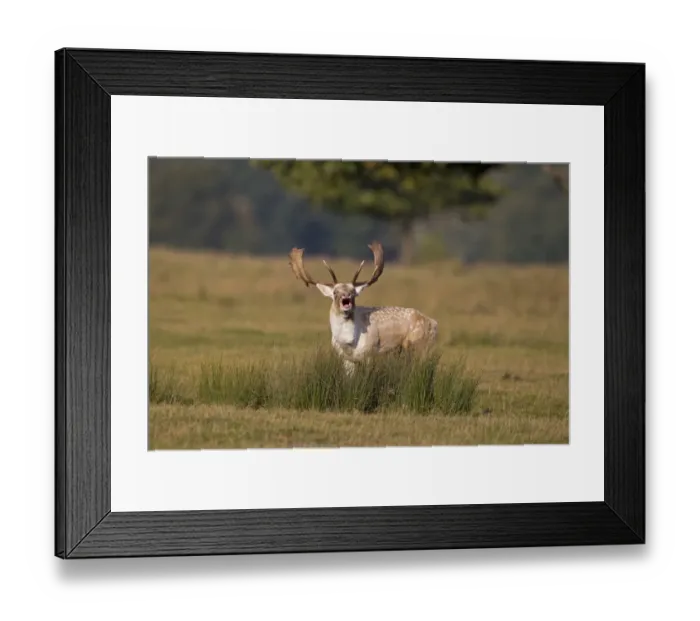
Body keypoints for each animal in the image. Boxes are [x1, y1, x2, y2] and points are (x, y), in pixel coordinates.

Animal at [288, 241, 438, 375]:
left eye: (353, 291)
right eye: (335, 292)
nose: (346, 296)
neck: (349, 343)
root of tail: (434, 323)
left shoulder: (369, 353)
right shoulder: (347, 360)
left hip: (420, 346)